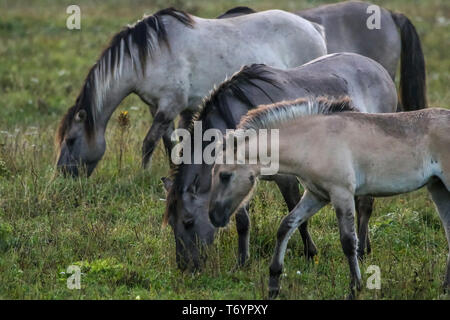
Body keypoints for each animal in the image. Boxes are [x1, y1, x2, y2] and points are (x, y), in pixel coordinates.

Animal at [55, 7, 326, 176]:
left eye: (71, 140)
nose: (61, 175)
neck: (148, 55)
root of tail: (313, 27)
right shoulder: (158, 107)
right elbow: (168, 142)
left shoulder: (169, 106)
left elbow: (149, 143)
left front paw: (143, 174)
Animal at [162, 53, 398, 272]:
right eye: (172, 223)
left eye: (188, 221)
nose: (185, 266)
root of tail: (380, 70)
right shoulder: (236, 180)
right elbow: (242, 222)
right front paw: (242, 262)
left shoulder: (286, 179)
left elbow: (296, 214)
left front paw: (310, 253)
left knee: (365, 205)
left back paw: (361, 252)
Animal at [208, 98, 450, 300]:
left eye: (224, 175)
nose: (213, 217)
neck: (312, 141)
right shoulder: (316, 195)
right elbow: (286, 226)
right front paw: (274, 283)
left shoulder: (341, 193)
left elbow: (348, 241)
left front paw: (355, 288)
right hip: (438, 188)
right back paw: (444, 287)